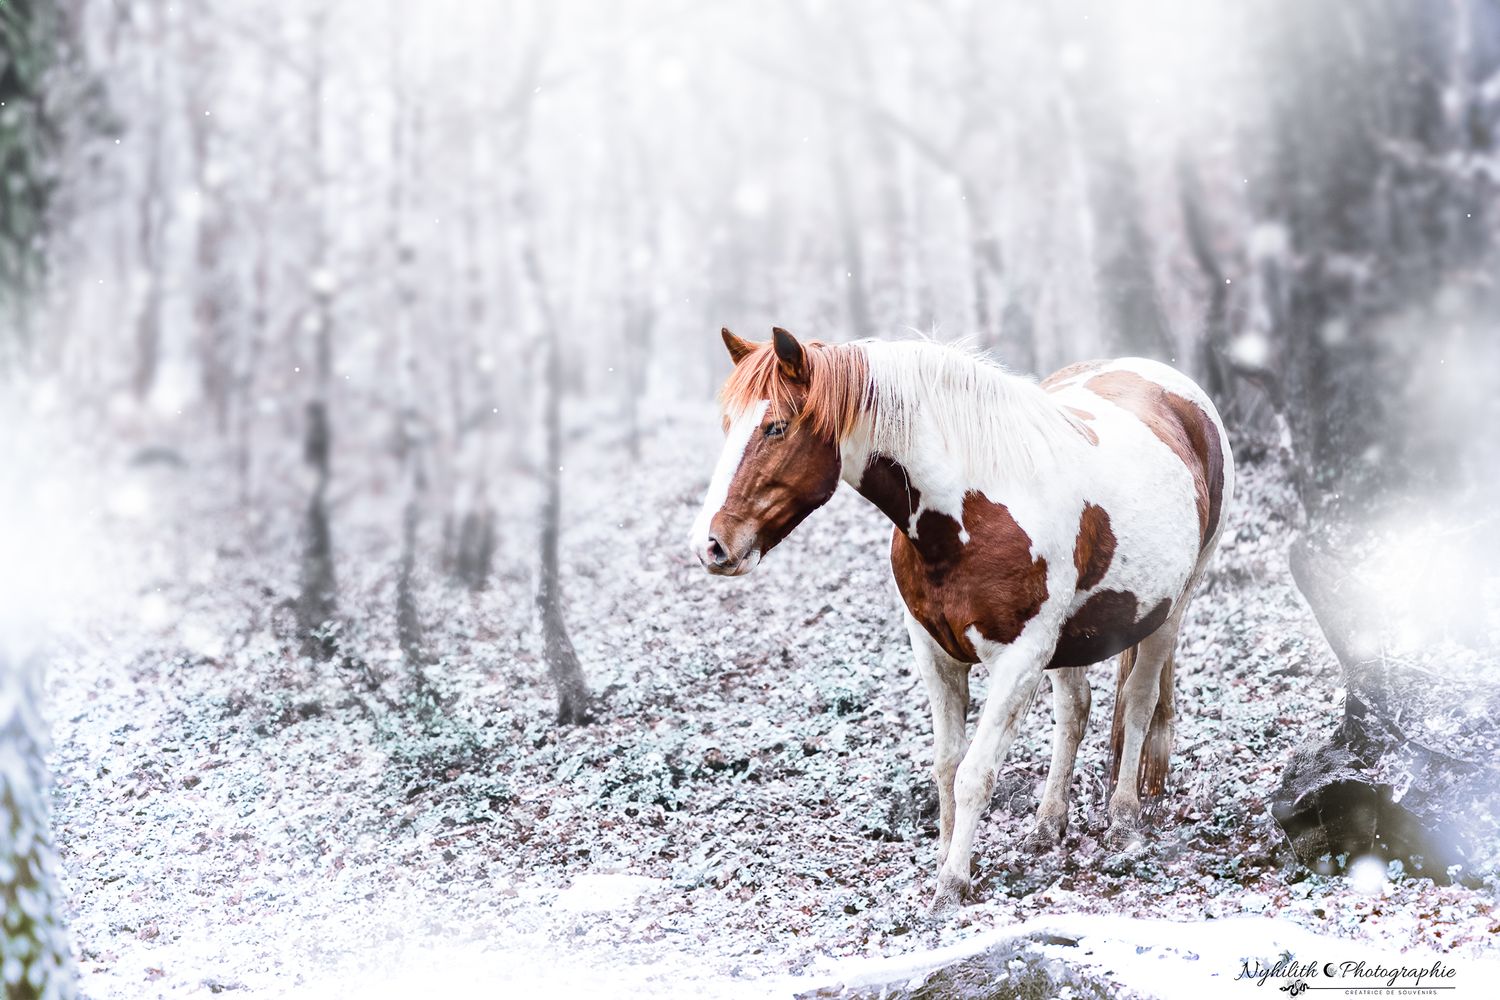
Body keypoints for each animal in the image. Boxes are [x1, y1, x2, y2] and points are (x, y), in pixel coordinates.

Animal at [691, 326, 1234, 909]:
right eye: (729, 425)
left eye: (776, 426)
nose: (710, 545)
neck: (976, 508)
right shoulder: (937, 656)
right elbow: (947, 765)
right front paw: (946, 861)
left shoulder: (1019, 662)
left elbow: (975, 773)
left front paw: (953, 884)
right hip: (1075, 639)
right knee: (1075, 711)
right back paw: (1048, 824)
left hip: (1168, 612)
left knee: (1138, 701)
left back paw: (1125, 816)